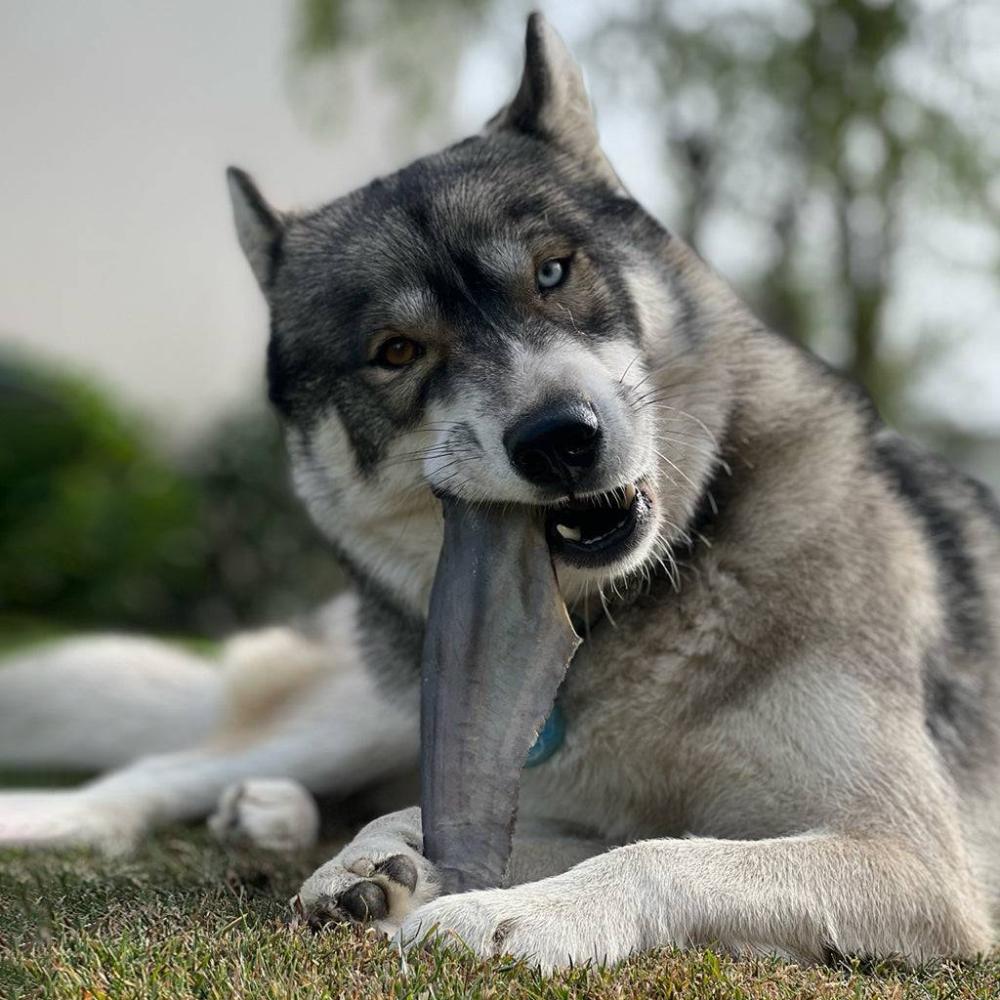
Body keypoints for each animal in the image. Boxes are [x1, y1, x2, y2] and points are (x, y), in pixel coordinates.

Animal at [1, 11, 1000, 972]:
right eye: (397, 350)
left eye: (552, 272)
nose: (560, 439)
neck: (645, 601)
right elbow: (492, 827)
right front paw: (379, 866)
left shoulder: (912, 862)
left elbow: (658, 853)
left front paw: (505, 915)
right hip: (366, 711)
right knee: (164, 769)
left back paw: (274, 816)